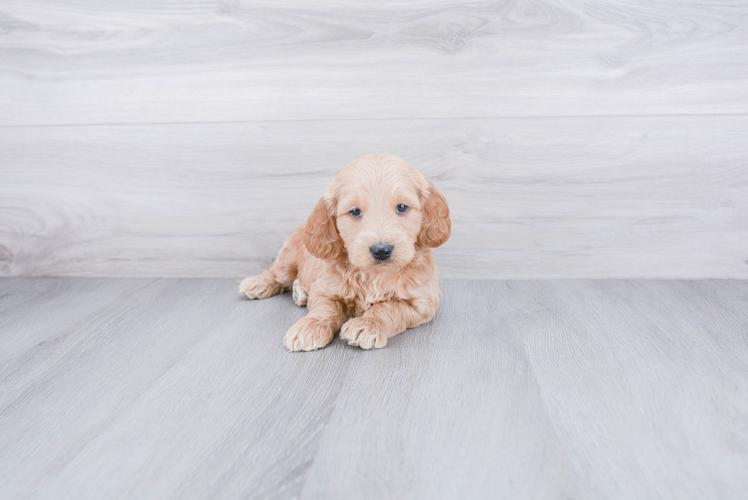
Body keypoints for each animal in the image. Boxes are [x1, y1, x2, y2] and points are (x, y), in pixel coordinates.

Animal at [240, 152, 450, 352]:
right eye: (355, 212)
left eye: (402, 207)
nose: (381, 250)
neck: (373, 275)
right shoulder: (325, 288)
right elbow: (324, 309)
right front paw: (309, 327)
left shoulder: (422, 302)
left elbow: (389, 308)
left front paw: (366, 324)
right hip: (288, 258)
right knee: (277, 275)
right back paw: (257, 284)